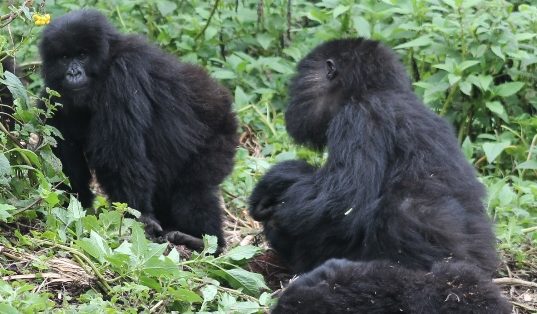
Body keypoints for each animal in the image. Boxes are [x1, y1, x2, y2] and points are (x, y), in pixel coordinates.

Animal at [38, 9, 236, 249]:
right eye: (65, 58)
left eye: (82, 55)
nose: (73, 73)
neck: (107, 60)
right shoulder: (54, 97)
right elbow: (64, 162)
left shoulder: (124, 74)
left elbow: (120, 157)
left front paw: (137, 221)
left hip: (220, 135)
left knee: (193, 191)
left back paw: (205, 242)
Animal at [249, 38, 508, 312]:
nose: (290, 105)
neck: (373, 90)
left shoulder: (359, 116)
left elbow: (338, 199)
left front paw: (280, 181)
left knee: (404, 210)